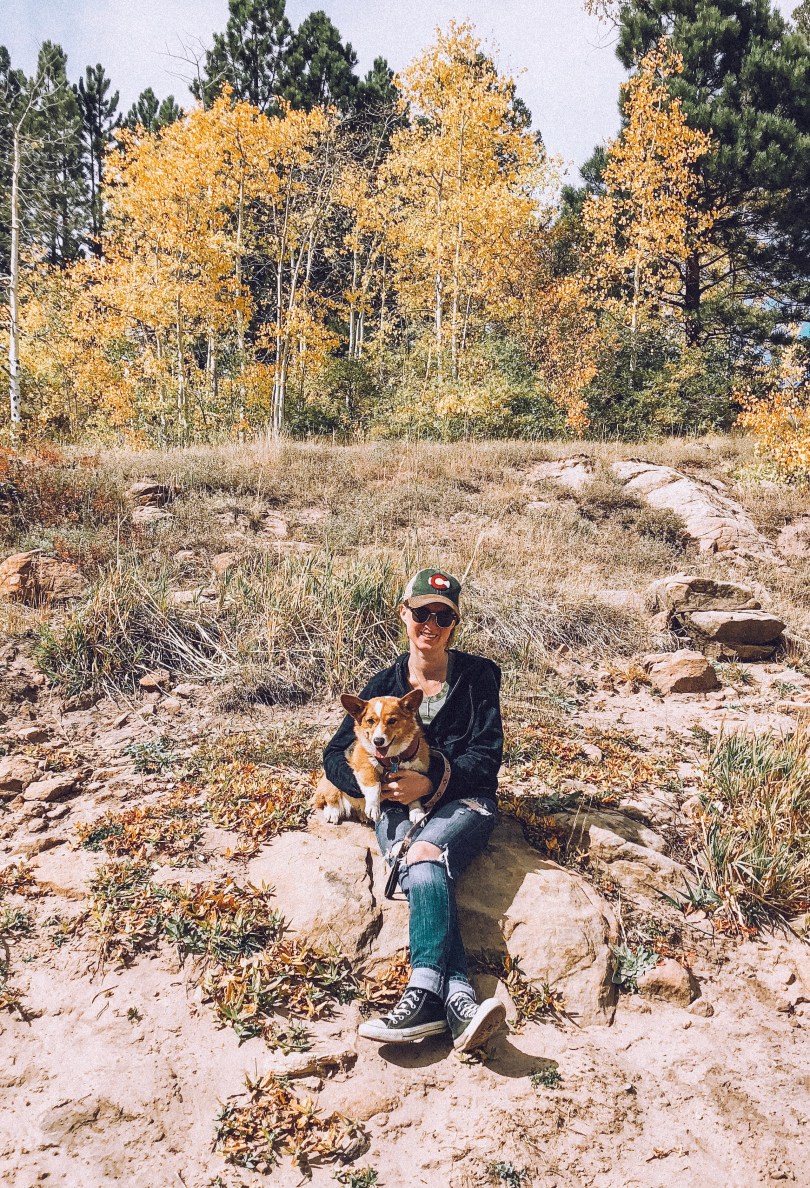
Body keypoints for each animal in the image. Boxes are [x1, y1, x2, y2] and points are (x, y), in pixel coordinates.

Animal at [315, 690, 430, 825]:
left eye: (392, 720)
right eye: (370, 721)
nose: (378, 741)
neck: (392, 758)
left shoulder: (415, 772)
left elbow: (414, 795)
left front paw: (417, 812)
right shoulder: (364, 761)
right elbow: (374, 784)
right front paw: (373, 808)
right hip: (331, 780)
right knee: (330, 799)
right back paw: (333, 812)